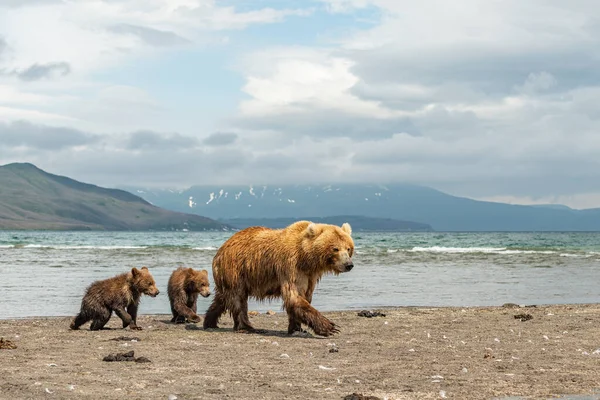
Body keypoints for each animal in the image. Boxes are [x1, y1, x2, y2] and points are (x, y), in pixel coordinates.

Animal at [204, 220, 354, 336]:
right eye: (335, 248)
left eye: (348, 248)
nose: (349, 265)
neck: (307, 258)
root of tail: (221, 249)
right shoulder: (291, 266)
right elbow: (293, 296)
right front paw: (330, 327)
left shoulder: (310, 275)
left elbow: (304, 297)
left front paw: (297, 329)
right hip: (235, 269)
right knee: (238, 299)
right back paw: (246, 327)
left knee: (222, 298)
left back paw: (209, 322)